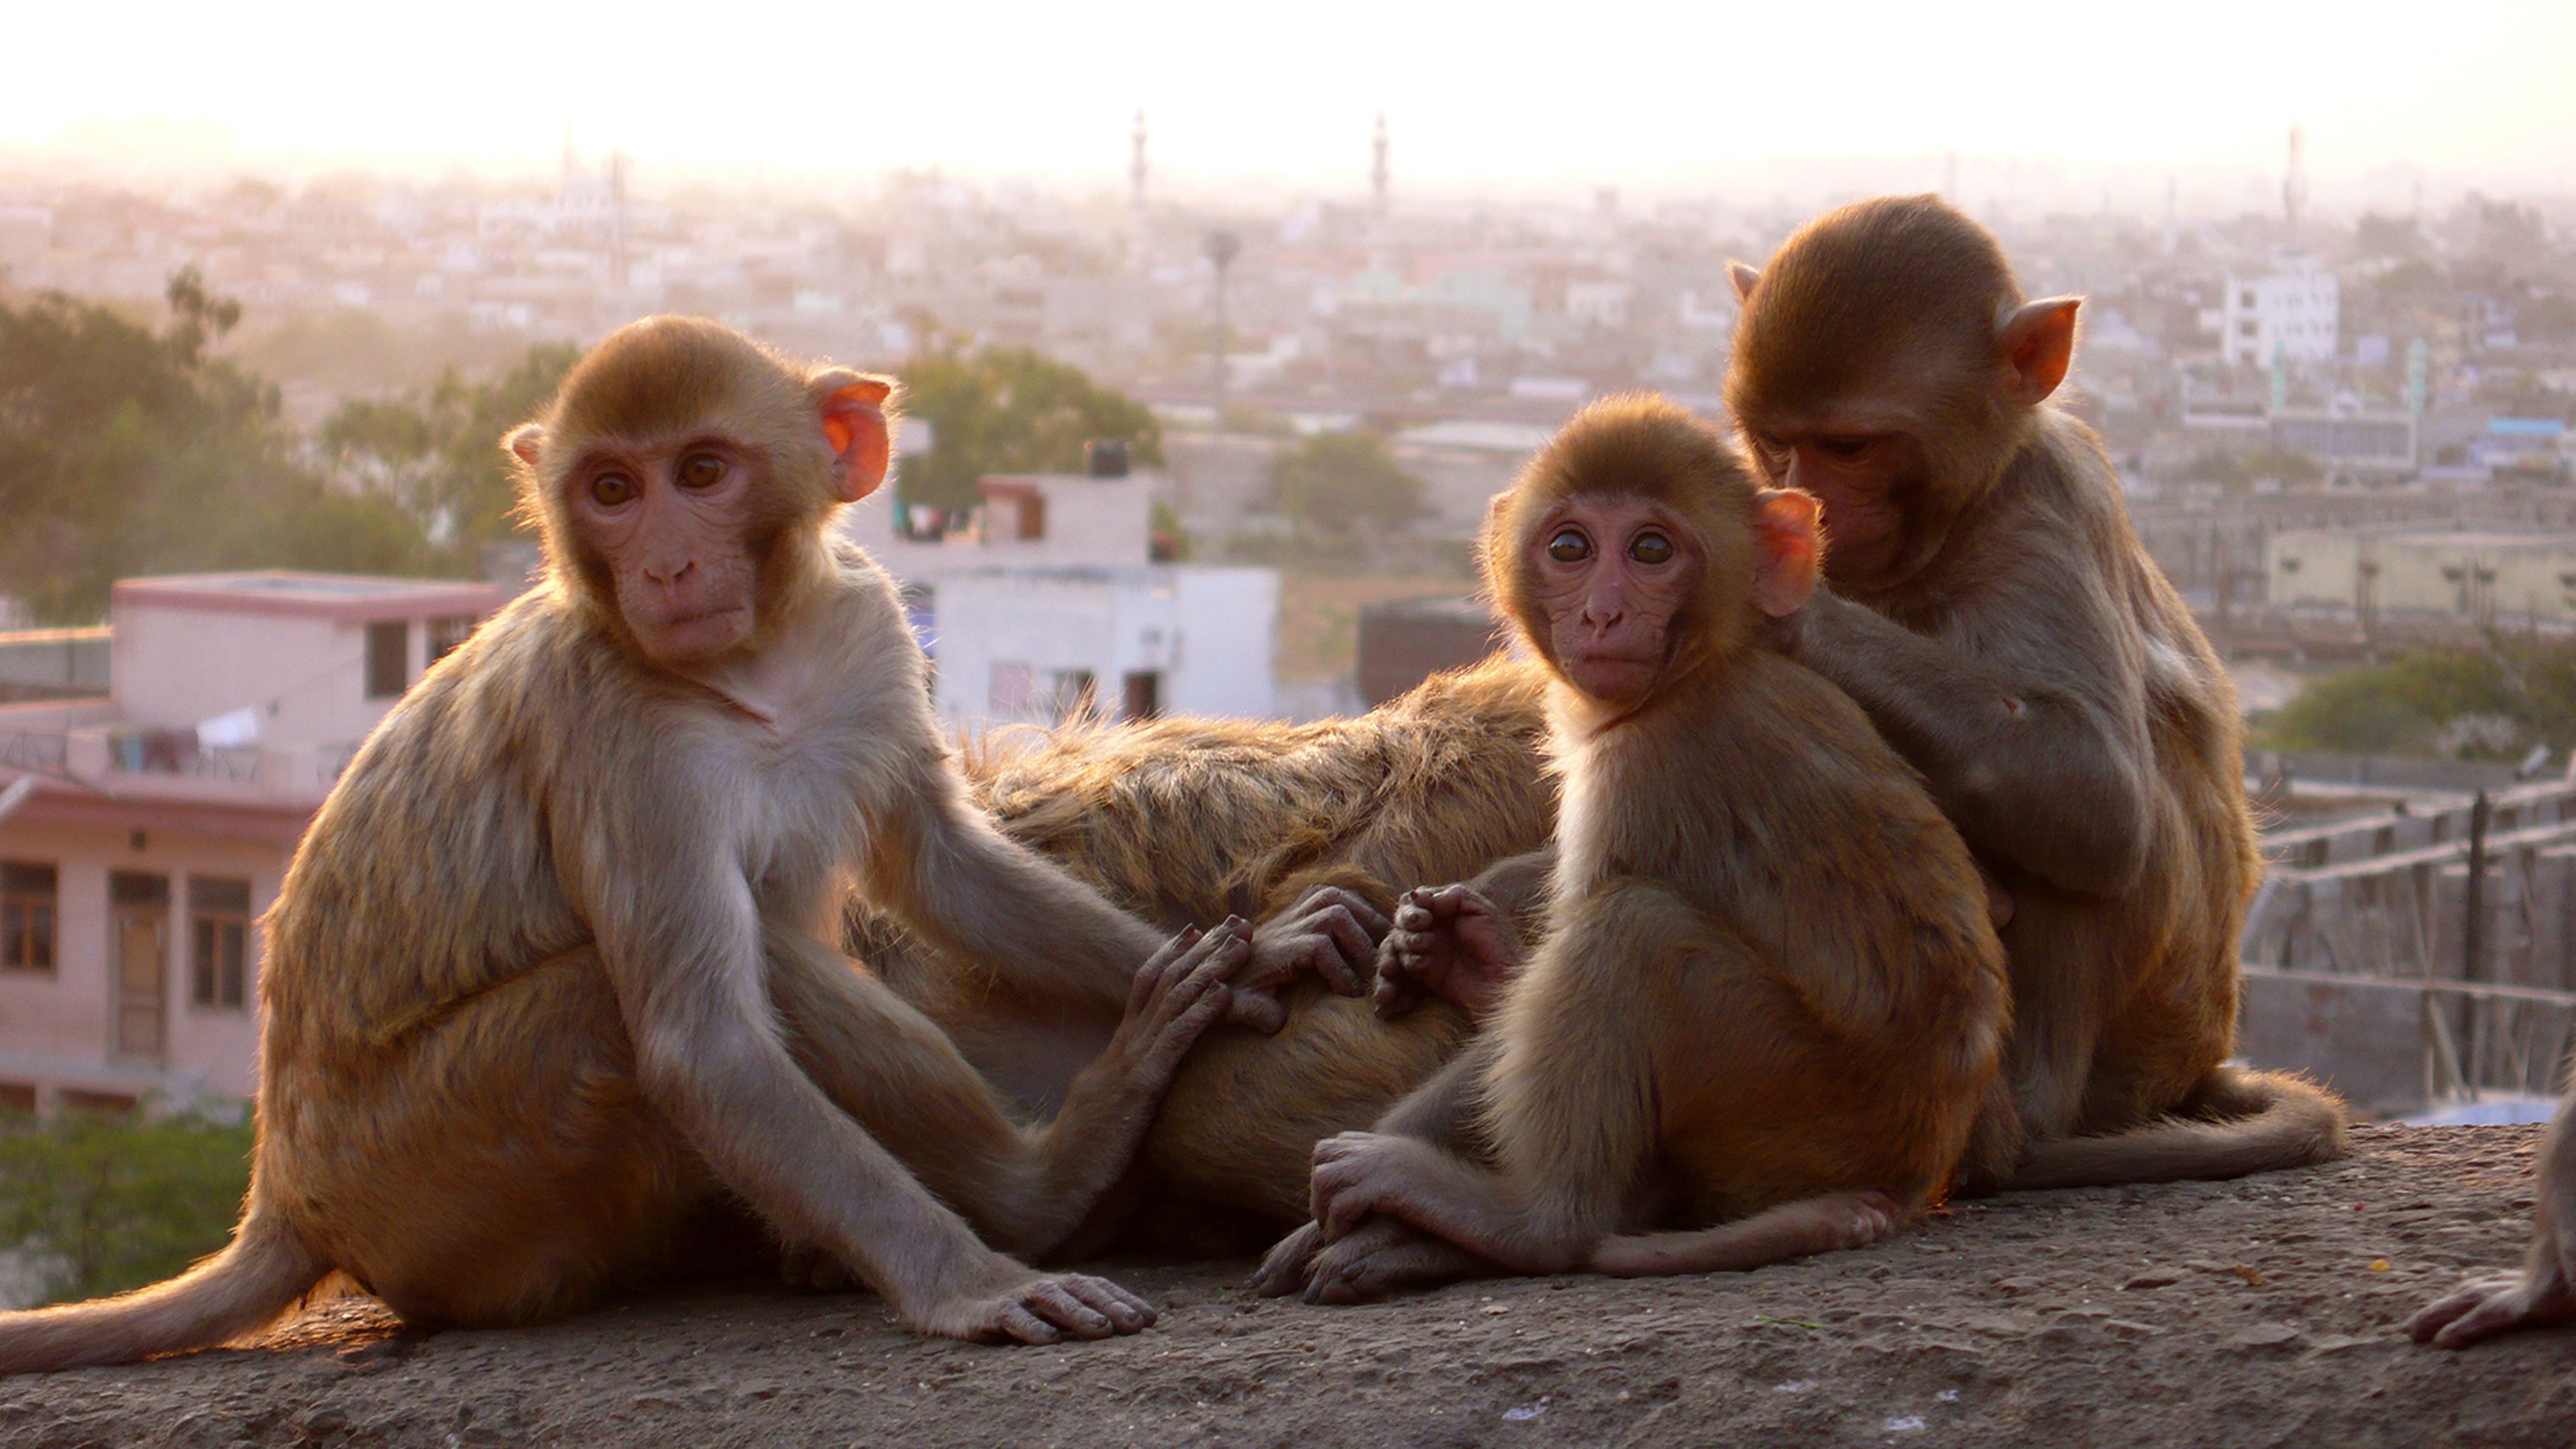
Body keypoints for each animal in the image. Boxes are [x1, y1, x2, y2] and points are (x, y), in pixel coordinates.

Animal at [0, 317, 1266, 1375]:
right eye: (611, 489)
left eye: (701, 472)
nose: (663, 566)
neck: (761, 667)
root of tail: (287, 1195)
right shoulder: (618, 737)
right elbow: (703, 1047)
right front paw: (973, 1283)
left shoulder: (868, 635)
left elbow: (943, 868)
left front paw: (1250, 963)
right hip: (434, 1171)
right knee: (646, 993)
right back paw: (1049, 1188)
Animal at [1252, 394, 2013, 1301]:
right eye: (1570, 548)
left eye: (1652, 550)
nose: (1604, 614)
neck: (1699, 673)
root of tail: (1912, 1175)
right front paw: (1456, 948)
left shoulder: (1646, 775)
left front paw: (1328, 1219)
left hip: (1791, 1100)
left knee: (1632, 930)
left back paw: (1525, 1221)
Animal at [1713, 194, 2345, 1190]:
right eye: (1779, 441)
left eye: (1849, 446)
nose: (1809, 501)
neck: (1954, 519)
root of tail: (2198, 1061)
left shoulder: (2044, 514)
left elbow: (2095, 791)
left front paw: (1785, 605)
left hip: (2155, 1022)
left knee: (2115, 827)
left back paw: (2018, 1122)